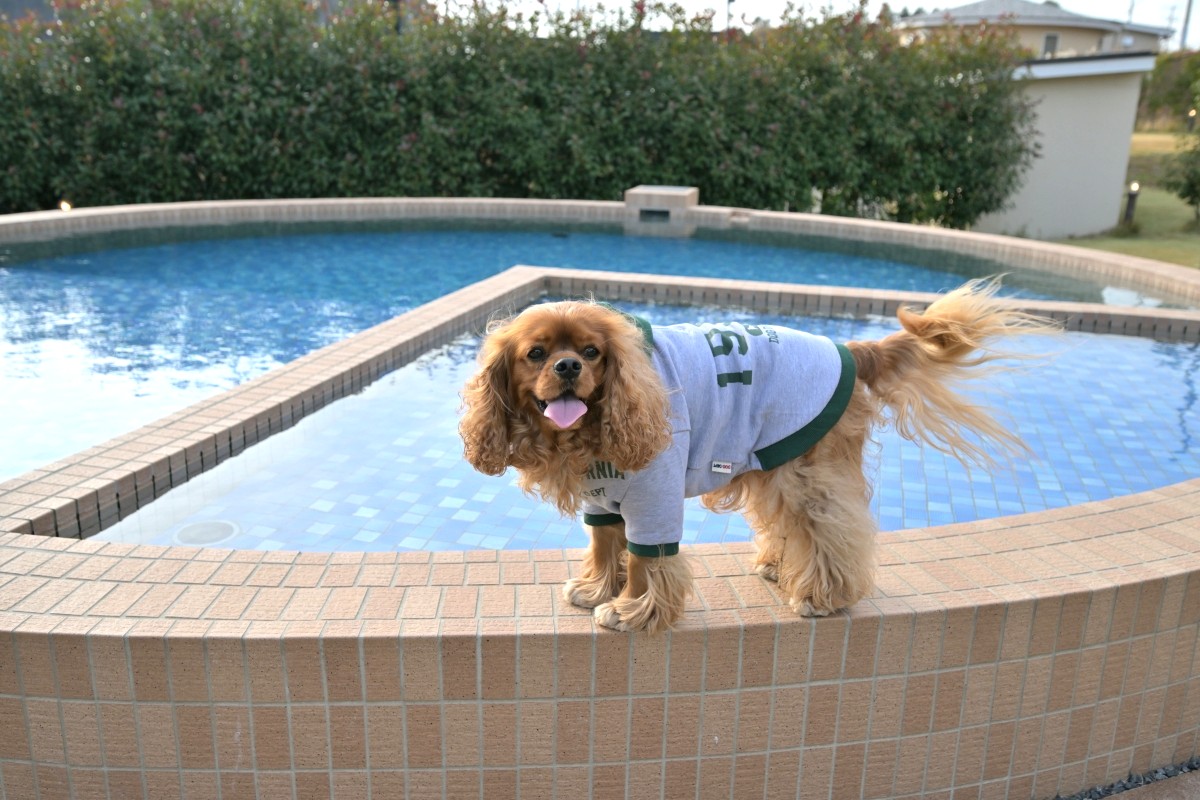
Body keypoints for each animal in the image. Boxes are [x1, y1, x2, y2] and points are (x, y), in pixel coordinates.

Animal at [459, 279, 1058, 632]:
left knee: (833, 531)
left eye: (591, 352)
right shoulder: (604, 494)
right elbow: (605, 543)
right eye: (536, 353)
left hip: (807, 469)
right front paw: (595, 589)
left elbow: (647, 560)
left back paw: (821, 595)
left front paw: (633, 610)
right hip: (773, 460)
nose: (567, 367)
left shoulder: (653, 492)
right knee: (791, 524)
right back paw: (779, 565)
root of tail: (848, 349)